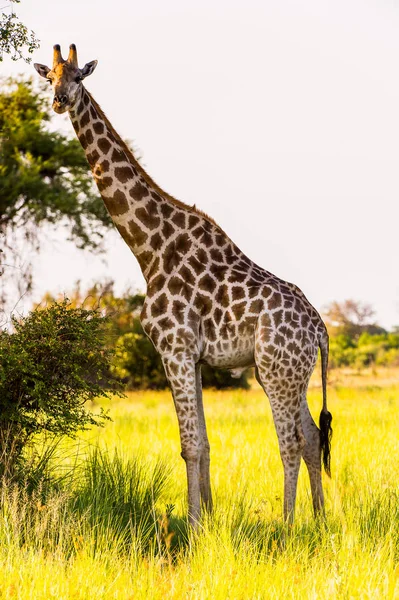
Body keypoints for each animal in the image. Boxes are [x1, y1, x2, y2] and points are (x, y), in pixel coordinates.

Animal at [35, 45, 334, 524]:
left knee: (291, 442)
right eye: (50, 78)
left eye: (80, 76)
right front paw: (207, 520)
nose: (60, 101)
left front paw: (193, 525)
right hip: (292, 373)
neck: (150, 248)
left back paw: (288, 527)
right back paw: (320, 521)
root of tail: (321, 330)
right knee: (311, 436)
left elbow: (189, 444)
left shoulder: (173, 348)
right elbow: (205, 444)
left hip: (275, 370)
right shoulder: (192, 356)